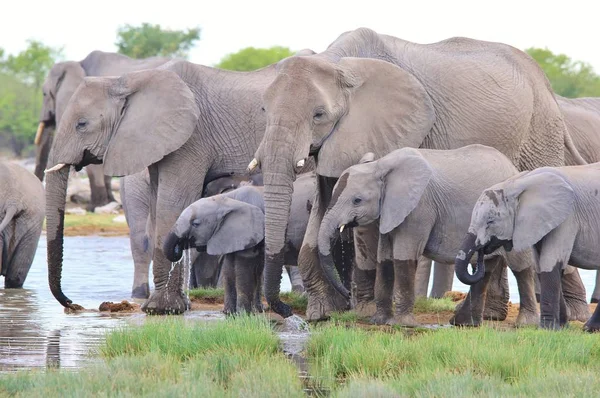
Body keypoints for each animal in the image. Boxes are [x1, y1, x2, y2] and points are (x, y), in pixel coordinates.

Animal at [162, 171, 316, 314]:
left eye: (195, 224)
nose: (289, 310)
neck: (228, 199)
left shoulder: (248, 229)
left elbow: (244, 268)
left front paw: (244, 315)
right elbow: (231, 268)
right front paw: (232, 313)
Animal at [251, 27, 588, 320]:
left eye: (318, 115)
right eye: (264, 111)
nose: (283, 311)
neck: (336, 61)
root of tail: (547, 86)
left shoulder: (385, 135)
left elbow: (369, 224)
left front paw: (364, 311)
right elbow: (324, 205)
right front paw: (322, 313)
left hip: (539, 135)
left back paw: (573, 316)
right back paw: (492, 315)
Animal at [458, 163, 600, 332]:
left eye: (490, 221)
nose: (481, 251)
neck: (519, 182)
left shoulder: (567, 219)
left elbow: (549, 264)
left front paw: (548, 329)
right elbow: (540, 266)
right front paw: (561, 326)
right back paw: (590, 329)